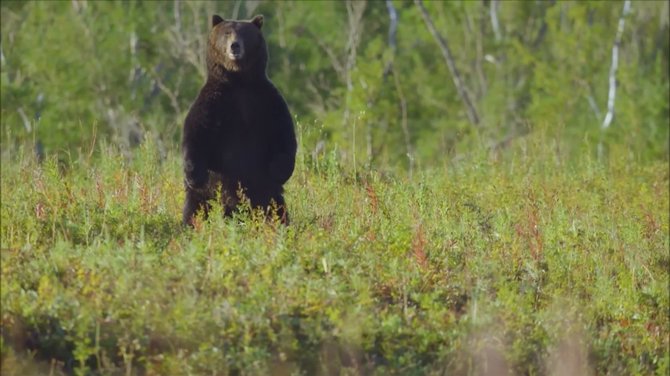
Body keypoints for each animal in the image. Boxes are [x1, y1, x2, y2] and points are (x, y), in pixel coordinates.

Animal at [181, 14, 296, 226]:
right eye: (227, 33)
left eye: (244, 33)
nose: (234, 46)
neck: (238, 81)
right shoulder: (214, 102)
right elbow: (196, 133)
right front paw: (194, 175)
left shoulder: (266, 101)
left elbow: (283, 135)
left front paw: (279, 170)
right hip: (212, 190)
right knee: (196, 207)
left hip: (267, 192)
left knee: (277, 208)